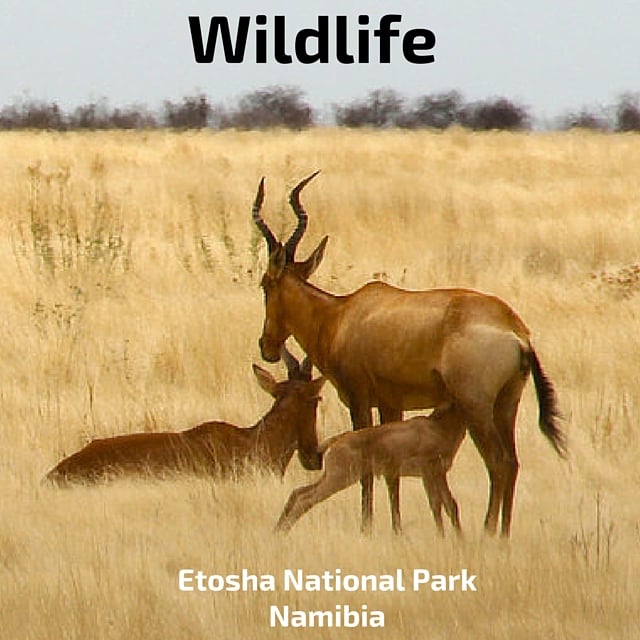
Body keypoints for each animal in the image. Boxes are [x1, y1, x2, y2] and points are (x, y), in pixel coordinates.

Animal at [276, 404, 464, 536]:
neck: (437, 427)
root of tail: (336, 440)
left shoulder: (439, 474)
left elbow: (450, 504)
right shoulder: (429, 473)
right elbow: (437, 505)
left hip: (333, 477)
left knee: (298, 492)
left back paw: (278, 529)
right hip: (339, 479)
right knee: (305, 499)